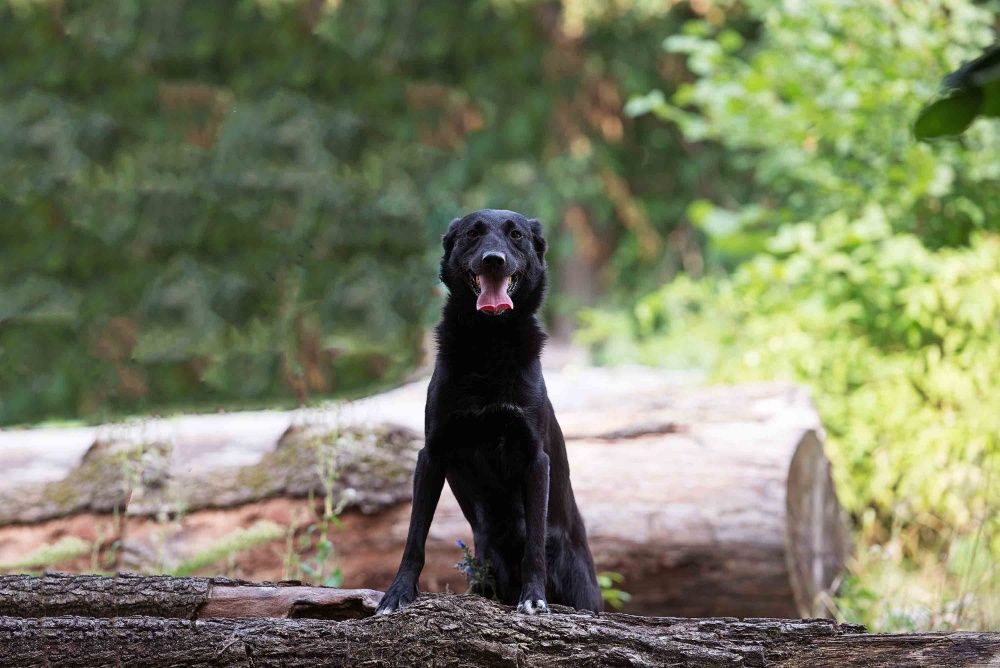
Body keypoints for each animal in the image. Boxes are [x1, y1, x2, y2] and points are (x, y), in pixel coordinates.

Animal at [376, 207, 600, 616]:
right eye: (472, 234)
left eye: (516, 235)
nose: (493, 260)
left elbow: (534, 545)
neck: (489, 343)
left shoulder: (535, 459)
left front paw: (533, 598)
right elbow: (415, 536)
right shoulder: (432, 454)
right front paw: (397, 593)